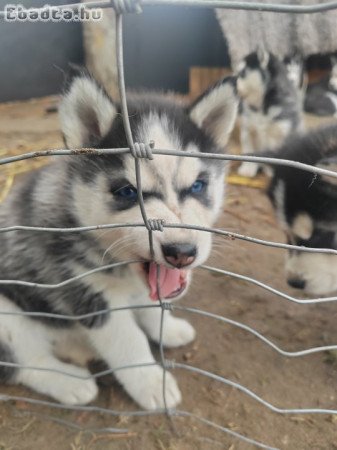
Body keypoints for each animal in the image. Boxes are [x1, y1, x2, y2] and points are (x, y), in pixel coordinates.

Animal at [0, 72, 238, 410]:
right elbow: (129, 343)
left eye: (198, 186)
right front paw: (151, 383)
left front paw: (169, 329)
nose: (181, 252)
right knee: (24, 364)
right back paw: (70, 382)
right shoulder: (87, 292)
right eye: (127, 192)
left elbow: (151, 307)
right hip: (7, 315)